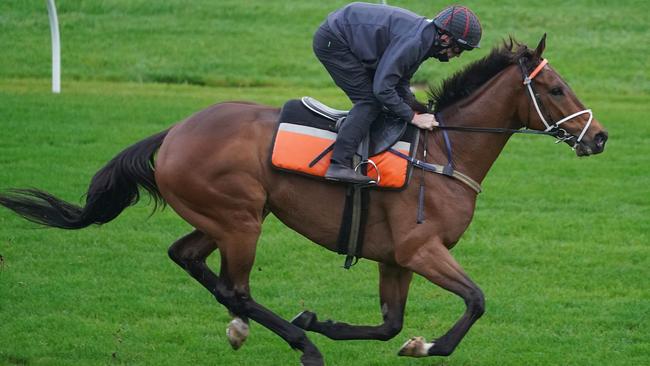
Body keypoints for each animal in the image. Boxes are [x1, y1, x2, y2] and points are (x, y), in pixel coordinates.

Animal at [0, 35, 604, 366]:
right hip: (241, 220)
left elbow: (388, 323)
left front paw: (327, 321)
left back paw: (254, 328)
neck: (442, 152)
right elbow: (475, 301)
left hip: (224, 216)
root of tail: (173, 132)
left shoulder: (394, 258)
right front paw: (423, 346)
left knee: (189, 259)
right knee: (236, 288)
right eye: (555, 89)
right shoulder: (420, 249)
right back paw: (295, 342)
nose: (598, 137)